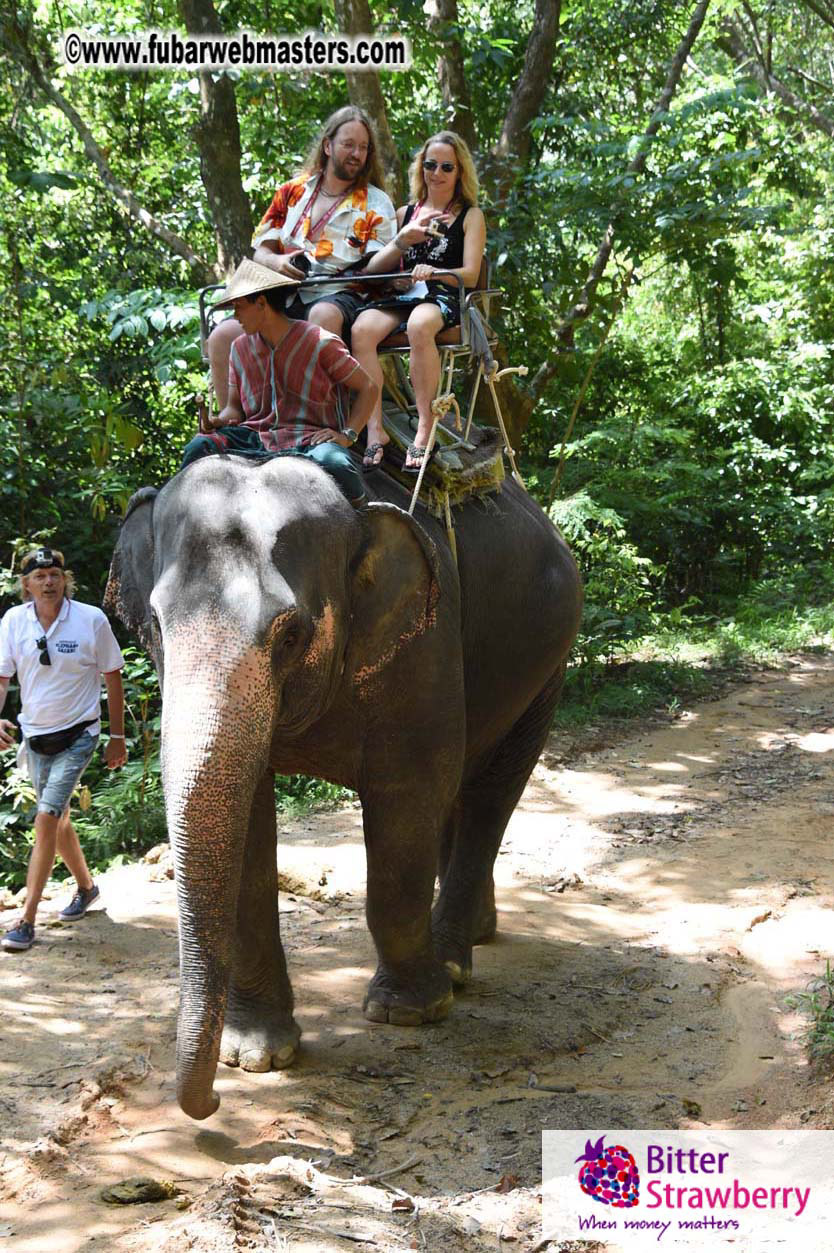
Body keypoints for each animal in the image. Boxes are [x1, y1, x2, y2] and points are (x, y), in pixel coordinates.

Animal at [104, 453, 582, 1120]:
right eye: (154, 624)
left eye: (290, 635)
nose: (213, 1103)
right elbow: (249, 818)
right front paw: (256, 1054)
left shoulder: (425, 642)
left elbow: (408, 794)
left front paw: (409, 1012)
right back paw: (475, 937)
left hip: (547, 664)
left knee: (492, 788)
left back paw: (454, 961)